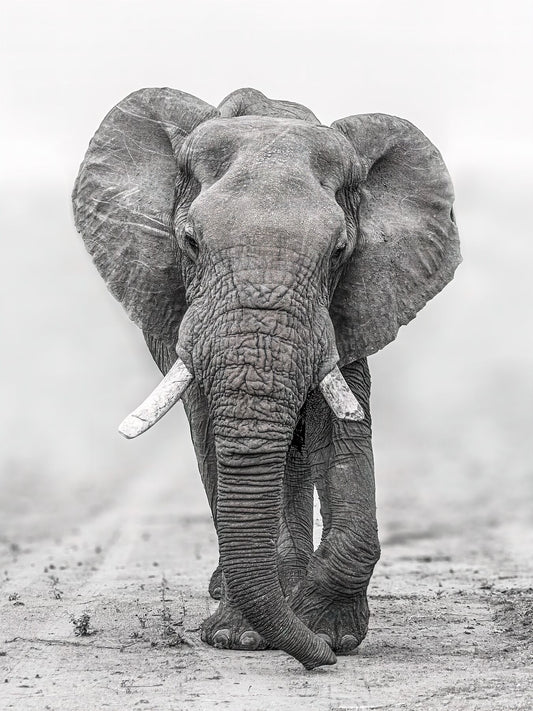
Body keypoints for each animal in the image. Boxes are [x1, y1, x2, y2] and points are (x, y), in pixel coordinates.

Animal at [72, 87, 460, 670]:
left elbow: (339, 434)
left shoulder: (351, 303)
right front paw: (244, 637)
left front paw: (327, 631)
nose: (318, 658)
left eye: (340, 251)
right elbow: (217, 435)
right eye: (189, 242)